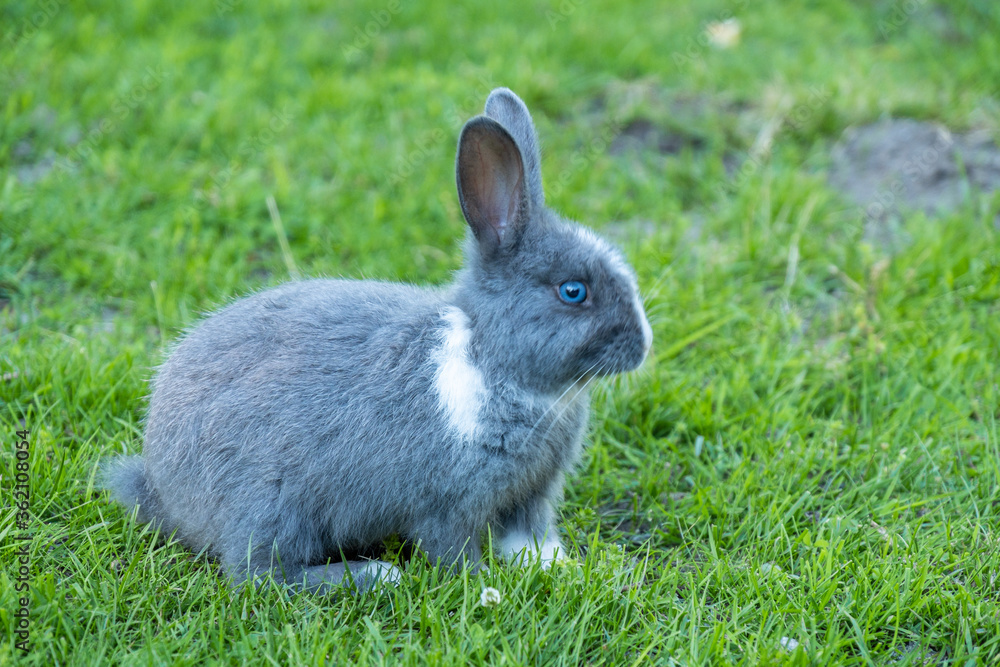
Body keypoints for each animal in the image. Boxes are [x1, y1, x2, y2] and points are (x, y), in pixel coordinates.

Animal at [103, 87, 653, 593]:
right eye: (573, 291)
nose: (643, 347)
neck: (489, 359)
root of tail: (160, 484)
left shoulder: (531, 494)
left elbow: (530, 540)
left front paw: (565, 570)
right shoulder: (445, 502)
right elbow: (452, 553)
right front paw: (485, 591)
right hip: (273, 504)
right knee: (260, 575)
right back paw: (373, 574)